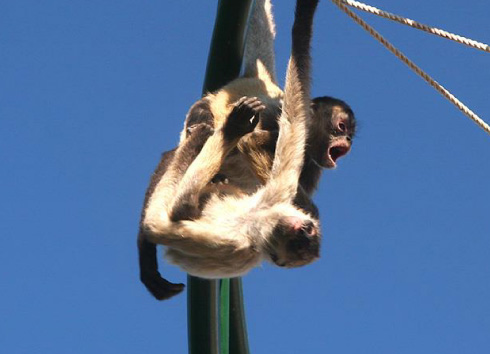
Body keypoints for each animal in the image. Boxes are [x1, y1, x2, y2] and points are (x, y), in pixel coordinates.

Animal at [138, 0, 356, 300]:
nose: (348, 140)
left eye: (350, 133)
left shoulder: (313, 164)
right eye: (340, 126)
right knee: (187, 141)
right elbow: (250, 142)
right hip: (204, 108)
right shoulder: (272, 119)